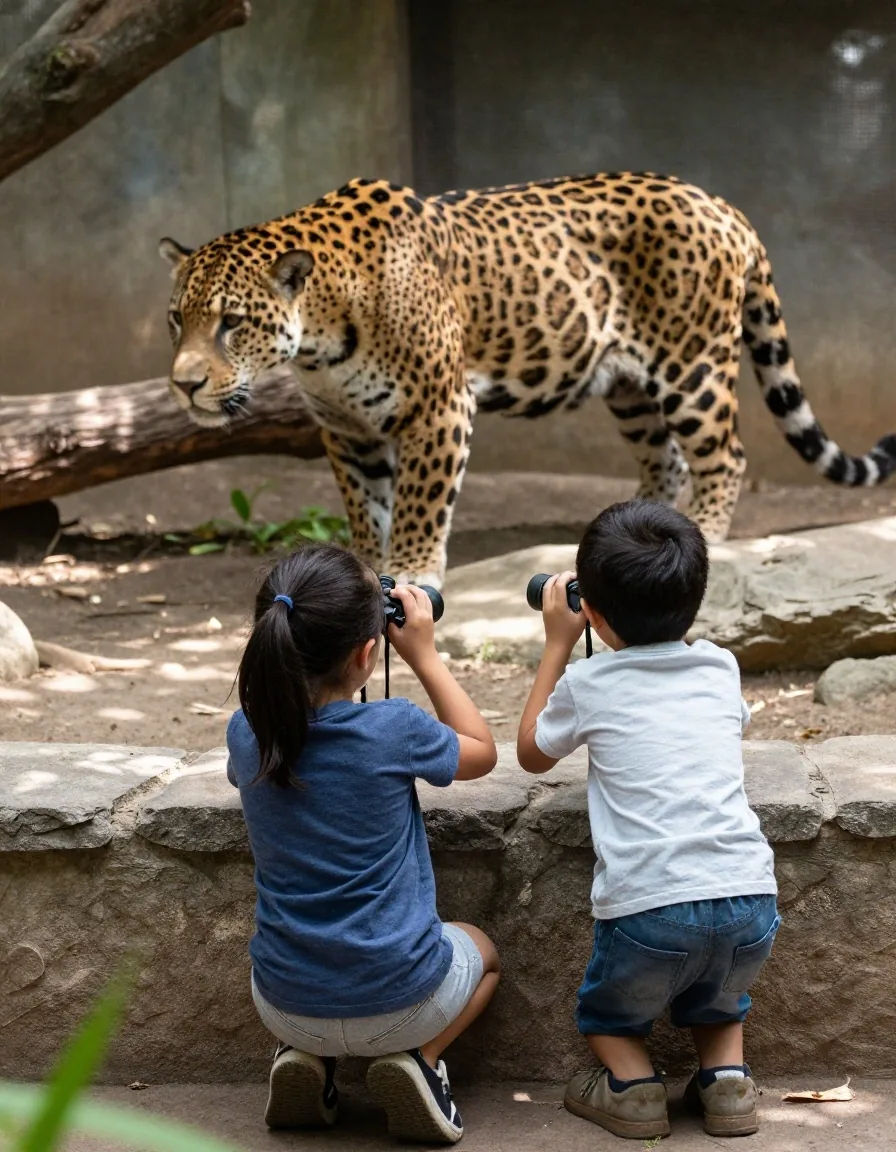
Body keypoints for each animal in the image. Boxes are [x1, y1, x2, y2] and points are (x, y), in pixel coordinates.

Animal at [160, 172, 896, 587]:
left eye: (231, 323)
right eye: (176, 319)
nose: (184, 385)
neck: (320, 335)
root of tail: (721, 204)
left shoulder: (439, 409)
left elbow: (420, 505)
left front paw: (412, 571)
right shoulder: (347, 430)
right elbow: (367, 508)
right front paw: (364, 569)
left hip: (693, 367)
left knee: (724, 456)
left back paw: (705, 531)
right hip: (630, 389)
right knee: (669, 462)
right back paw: (632, 529)